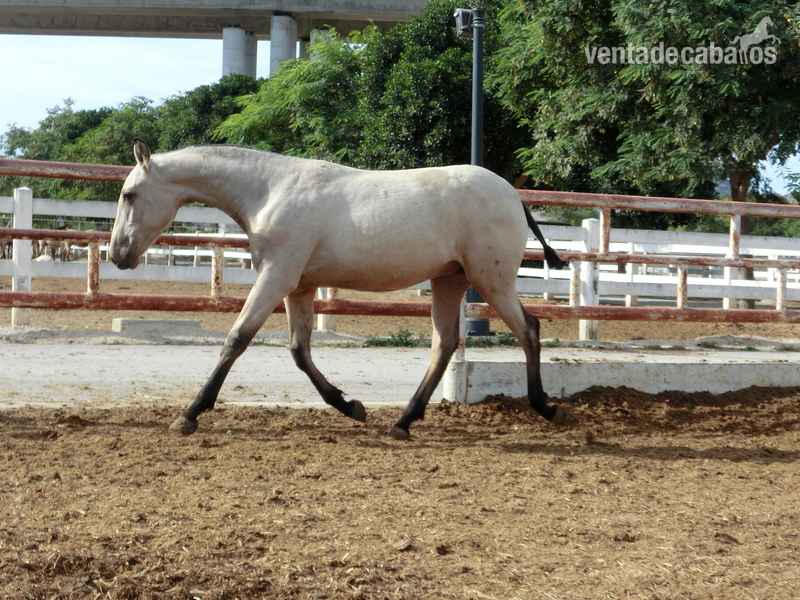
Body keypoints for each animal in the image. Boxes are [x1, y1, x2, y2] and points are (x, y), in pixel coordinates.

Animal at [109, 139, 568, 440]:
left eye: (129, 194)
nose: (117, 254)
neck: (270, 192)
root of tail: (513, 195)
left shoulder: (276, 277)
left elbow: (236, 339)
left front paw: (189, 414)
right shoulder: (299, 287)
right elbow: (299, 350)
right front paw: (351, 407)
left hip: (492, 280)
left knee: (528, 329)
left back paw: (547, 407)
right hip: (450, 280)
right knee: (445, 344)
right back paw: (402, 423)